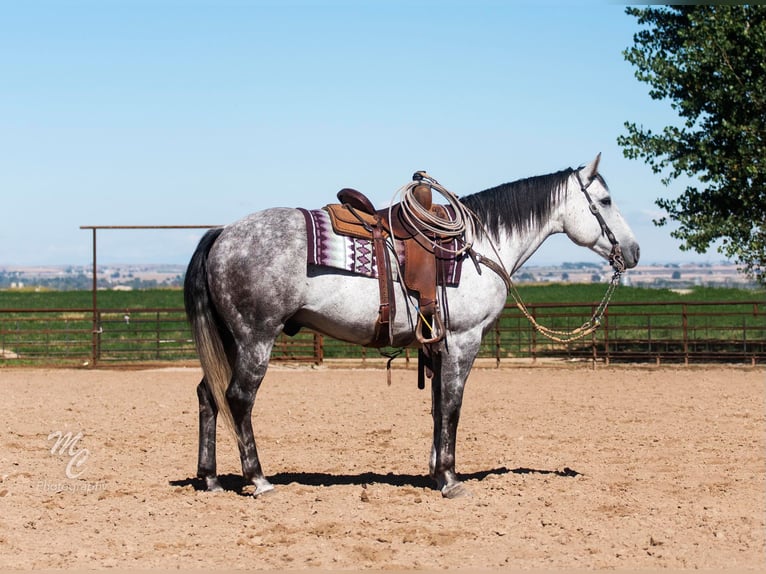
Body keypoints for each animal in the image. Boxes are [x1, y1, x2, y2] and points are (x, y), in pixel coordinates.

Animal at [186, 156, 640, 500]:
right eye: (605, 199)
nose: (634, 252)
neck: (476, 247)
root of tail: (223, 234)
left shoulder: (437, 345)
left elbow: (438, 407)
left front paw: (436, 472)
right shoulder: (463, 341)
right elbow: (453, 406)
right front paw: (452, 480)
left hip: (232, 340)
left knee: (209, 395)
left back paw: (210, 478)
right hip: (256, 338)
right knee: (239, 398)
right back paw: (259, 480)